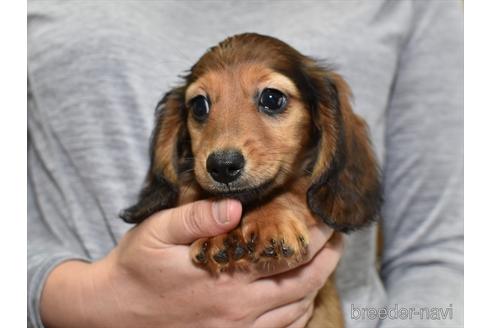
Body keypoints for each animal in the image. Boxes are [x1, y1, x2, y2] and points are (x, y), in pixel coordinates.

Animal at [119, 32, 380, 328]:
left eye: (272, 98)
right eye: (199, 105)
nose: (222, 166)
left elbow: (297, 188)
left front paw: (271, 221)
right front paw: (219, 236)